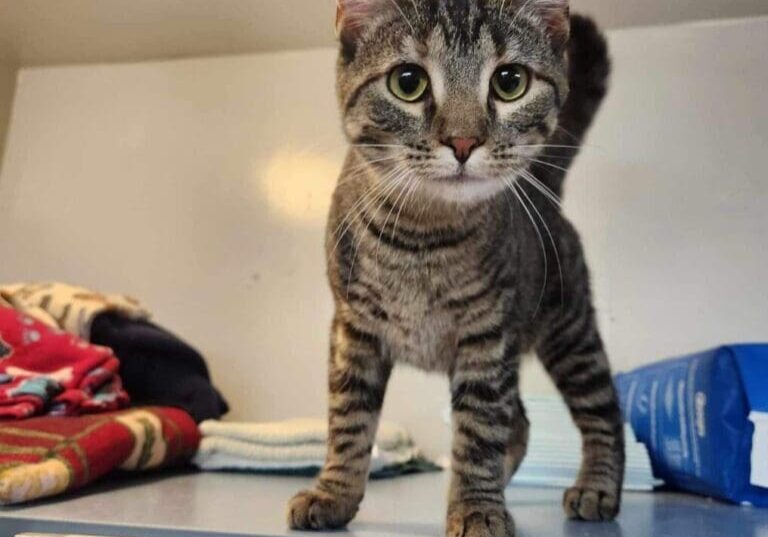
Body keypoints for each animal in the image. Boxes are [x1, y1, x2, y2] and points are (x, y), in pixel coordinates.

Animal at [288, 2, 624, 532]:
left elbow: (479, 430)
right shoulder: (352, 329)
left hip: (570, 332)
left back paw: (596, 488)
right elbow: (348, 421)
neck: (422, 240)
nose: (464, 141)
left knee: (603, 411)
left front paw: (477, 508)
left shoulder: (488, 336)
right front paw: (334, 493)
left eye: (510, 81)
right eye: (408, 82)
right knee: (522, 421)